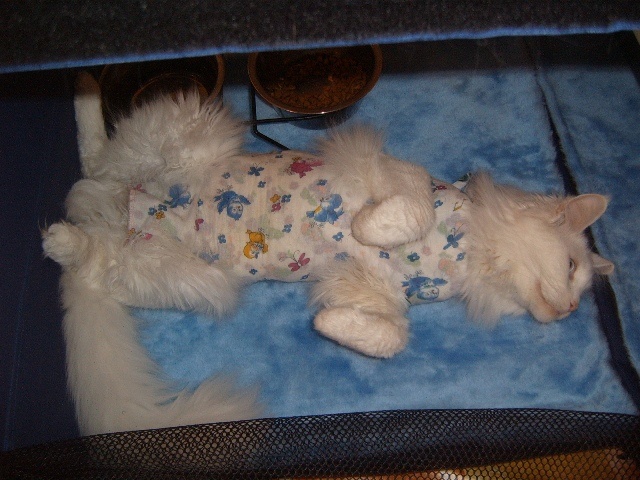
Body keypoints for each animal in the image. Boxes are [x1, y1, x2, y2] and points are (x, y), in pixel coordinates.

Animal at [42, 72, 614, 435]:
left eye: (577, 296)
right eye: (570, 268)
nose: (567, 310)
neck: (469, 258)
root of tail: (124, 210)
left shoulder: (379, 296)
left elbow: (391, 338)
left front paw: (329, 325)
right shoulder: (402, 177)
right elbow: (410, 212)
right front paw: (368, 228)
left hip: (188, 278)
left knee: (94, 249)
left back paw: (64, 232)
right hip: (185, 130)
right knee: (98, 163)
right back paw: (82, 100)